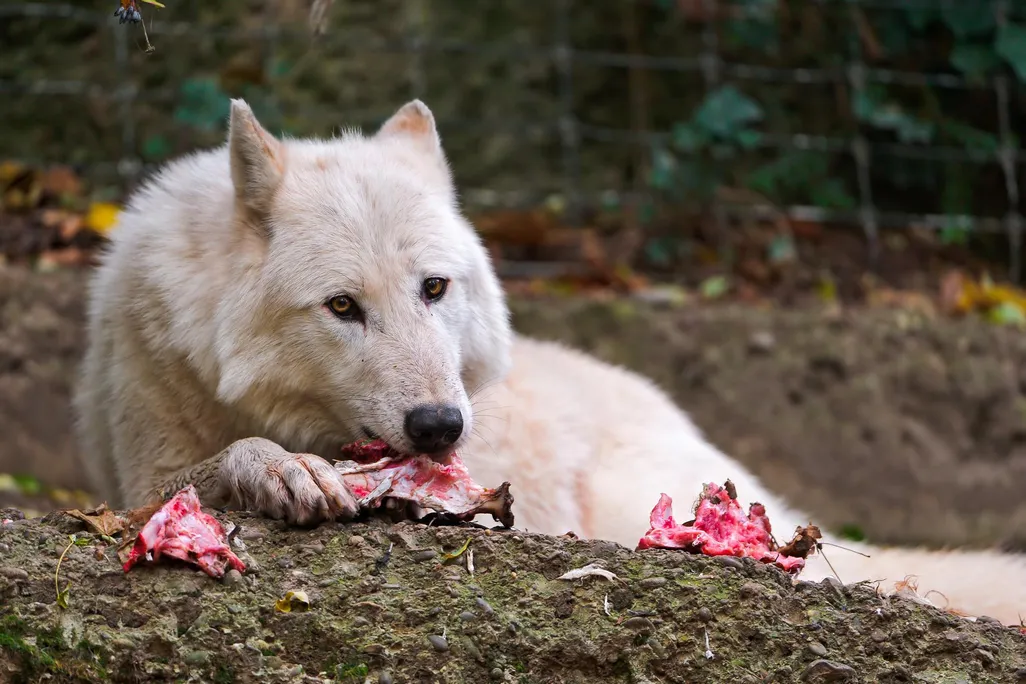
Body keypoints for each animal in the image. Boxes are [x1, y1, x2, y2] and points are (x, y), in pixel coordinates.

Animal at [74, 98, 1026, 624]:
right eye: (343, 307)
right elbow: (205, 469)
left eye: (434, 288)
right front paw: (280, 469)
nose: (441, 426)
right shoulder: (136, 471)